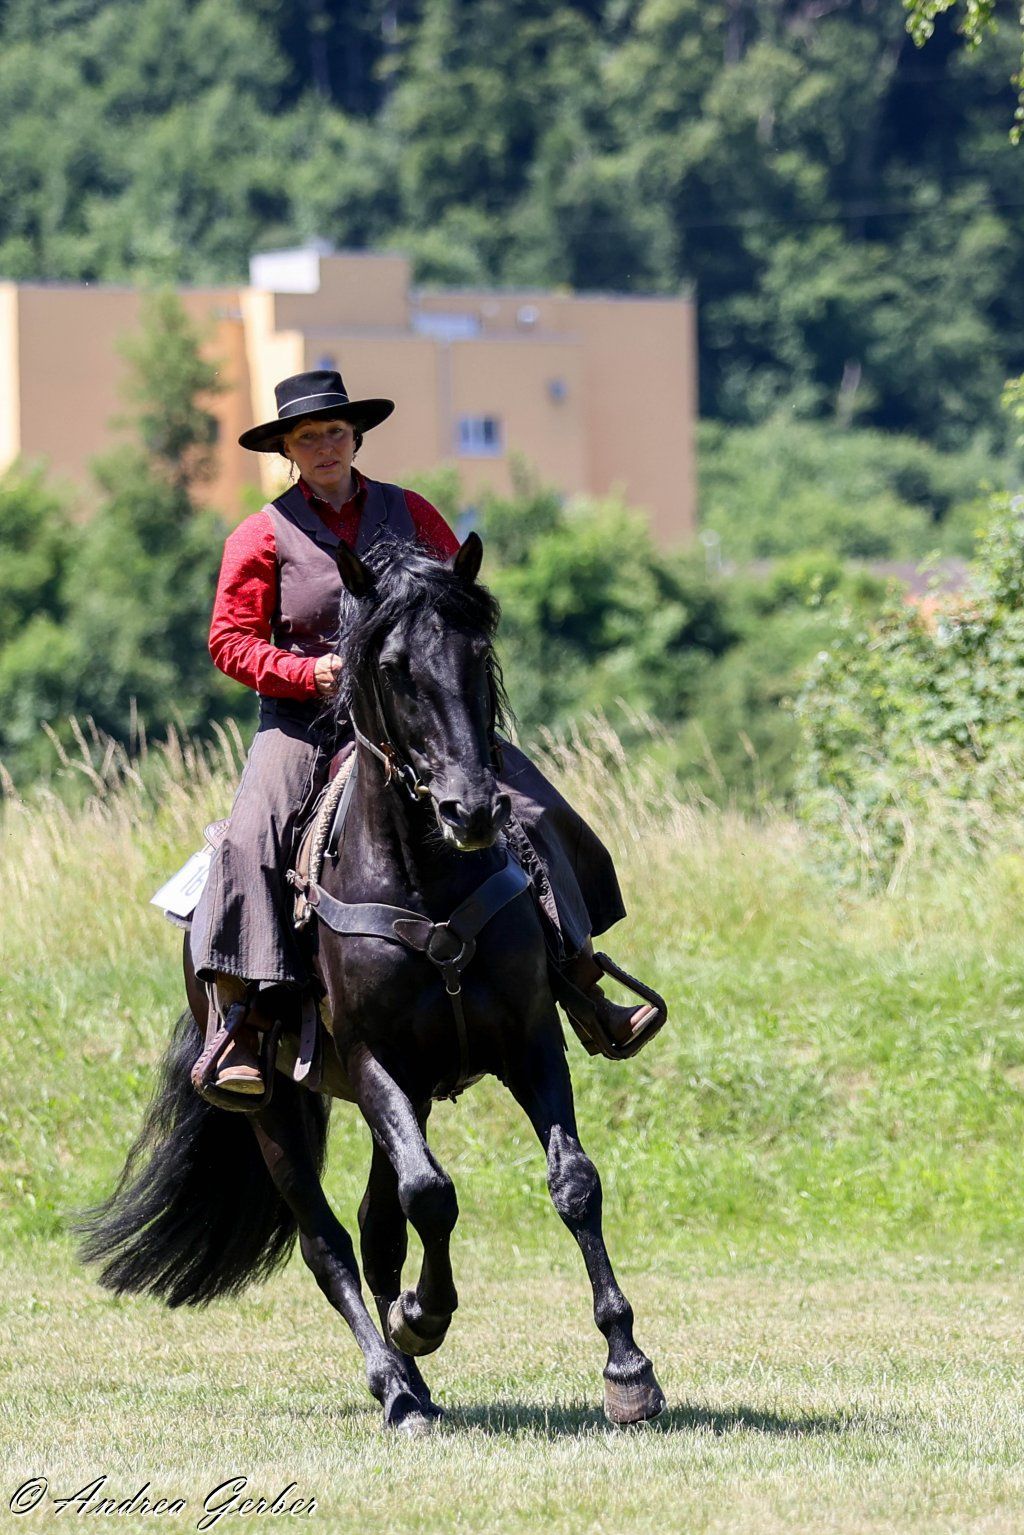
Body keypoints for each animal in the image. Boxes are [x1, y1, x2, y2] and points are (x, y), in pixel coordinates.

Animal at [78, 533, 665, 1435]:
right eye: (394, 668)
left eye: (477, 653)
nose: (471, 811)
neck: (426, 880)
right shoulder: (375, 1059)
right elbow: (430, 1194)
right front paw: (423, 1317)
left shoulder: (530, 1041)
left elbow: (572, 1183)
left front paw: (628, 1366)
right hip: (280, 1110)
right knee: (331, 1241)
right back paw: (395, 1381)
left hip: (415, 1089)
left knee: (377, 1222)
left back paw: (416, 1381)